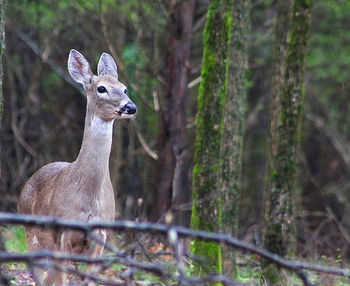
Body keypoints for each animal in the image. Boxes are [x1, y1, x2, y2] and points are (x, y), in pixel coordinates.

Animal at [18, 50, 137, 284]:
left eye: (124, 88)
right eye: (101, 88)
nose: (130, 107)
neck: (88, 200)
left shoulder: (100, 239)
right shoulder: (62, 236)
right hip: (32, 235)